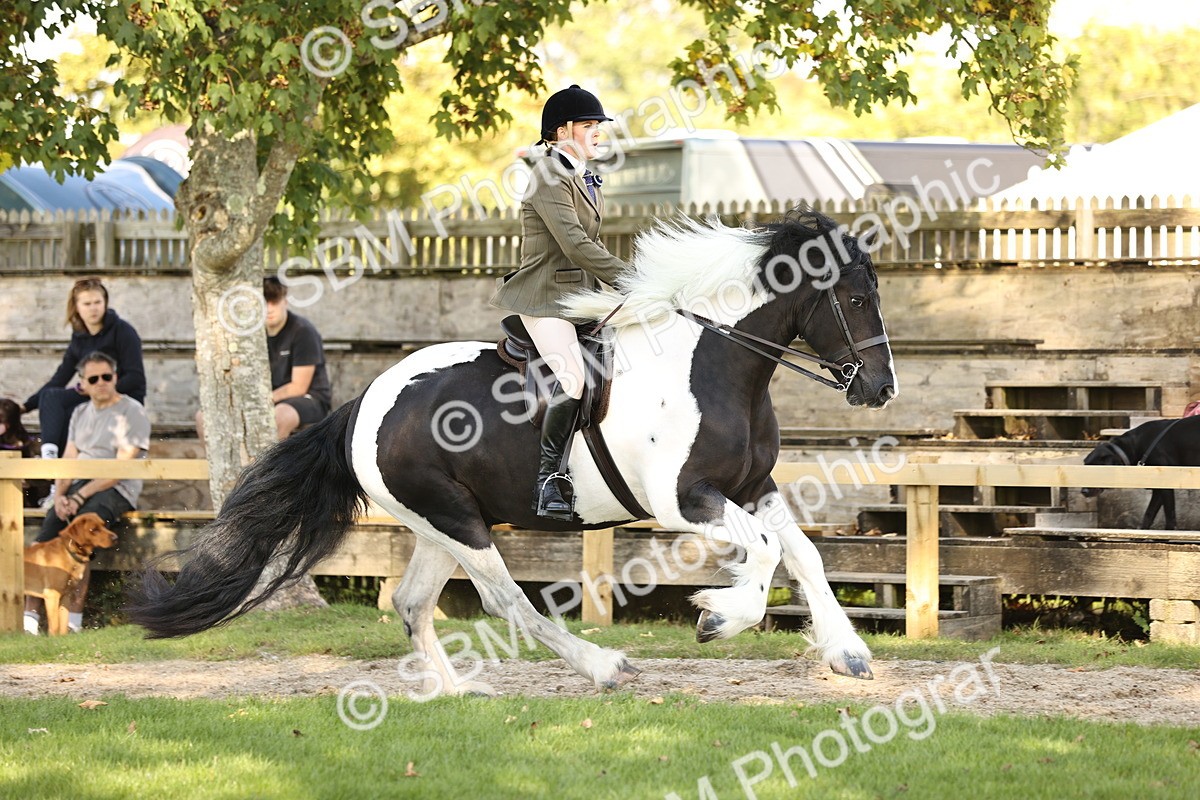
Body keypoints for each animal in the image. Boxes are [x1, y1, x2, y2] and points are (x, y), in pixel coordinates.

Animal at [127, 209, 898, 693]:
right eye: (857, 298)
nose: (881, 388)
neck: (716, 362)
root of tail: (363, 403)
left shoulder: (753, 486)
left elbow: (805, 554)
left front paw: (849, 654)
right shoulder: (685, 500)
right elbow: (765, 553)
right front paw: (717, 614)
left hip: (440, 524)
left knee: (411, 601)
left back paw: (457, 693)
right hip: (458, 523)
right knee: (508, 605)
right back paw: (604, 667)